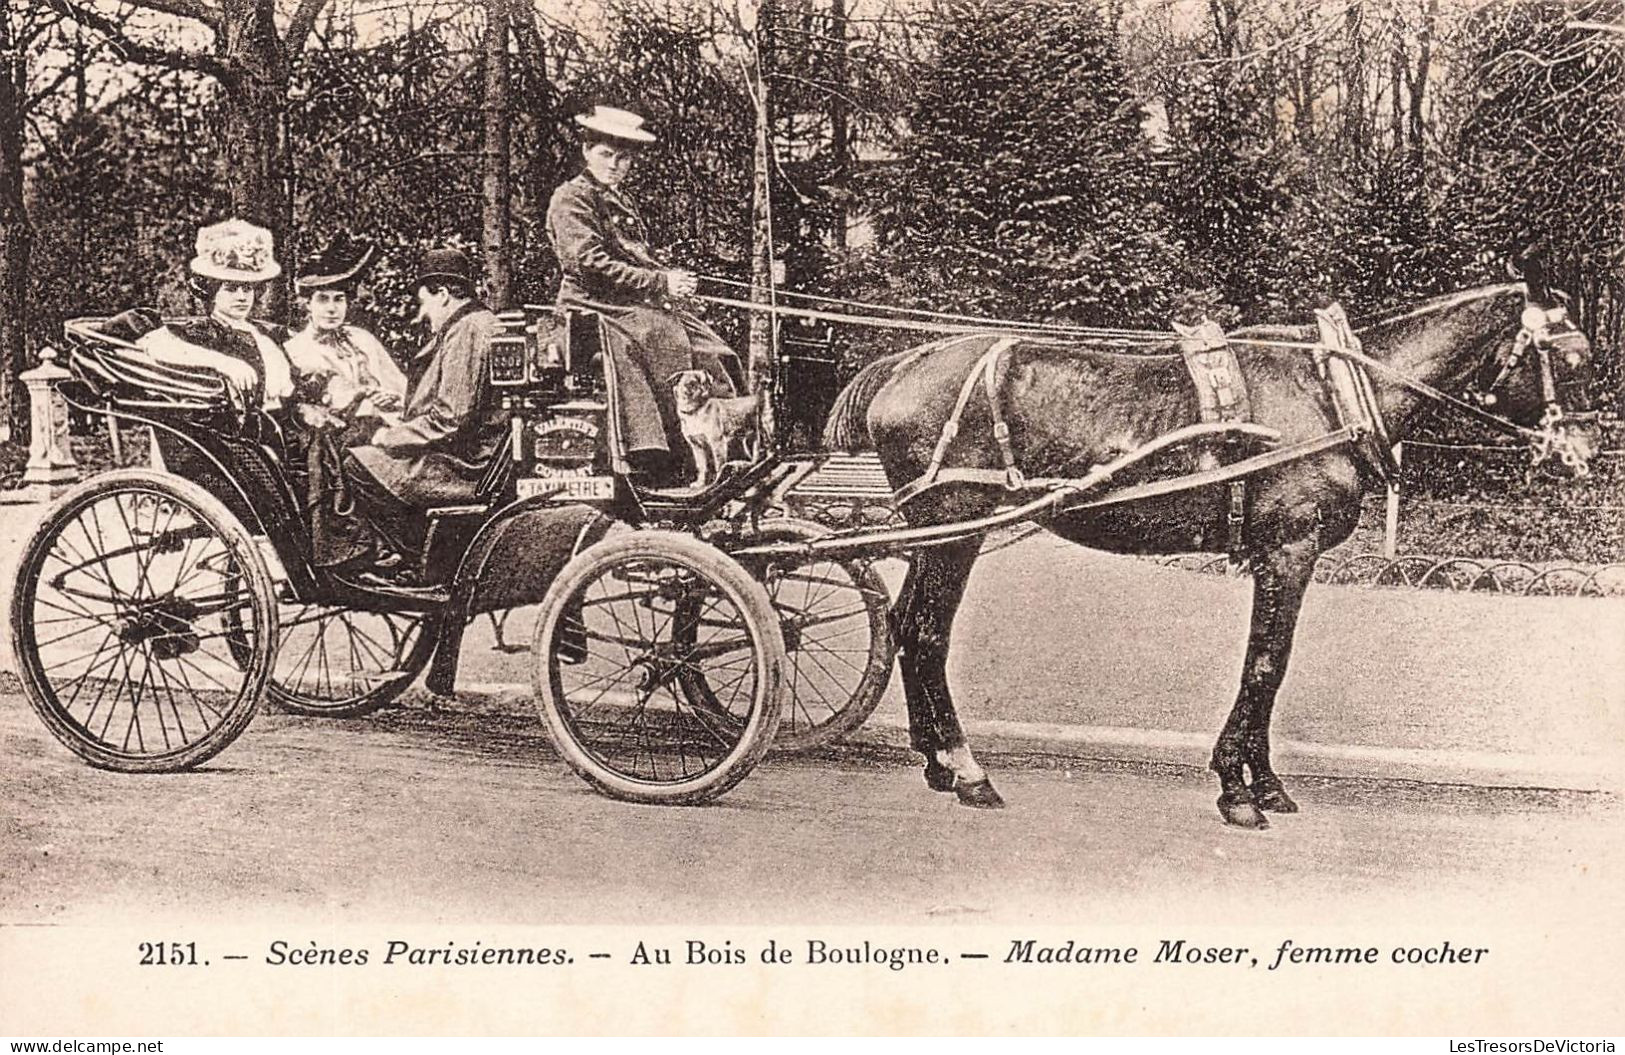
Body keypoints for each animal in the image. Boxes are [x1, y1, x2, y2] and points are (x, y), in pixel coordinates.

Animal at [825, 273, 1599, 832]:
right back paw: (967, 770)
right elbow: (1266, 663)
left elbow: (1269, 666)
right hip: (956, 527)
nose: (1584, 452)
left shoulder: (1279, 554)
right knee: (928, 633)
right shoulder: (1288, 550)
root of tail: (902, 361)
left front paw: (1267, 782)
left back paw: (934, 761)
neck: (1334, 395)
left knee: (904, 624)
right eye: (1573, 358)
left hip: (934, 535)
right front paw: (1238, 788)